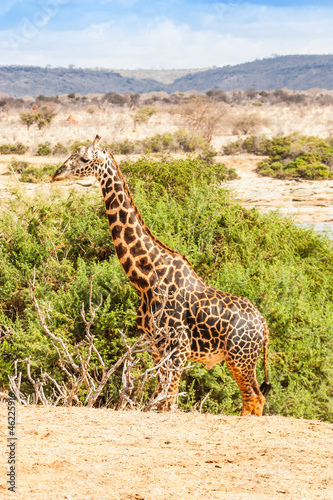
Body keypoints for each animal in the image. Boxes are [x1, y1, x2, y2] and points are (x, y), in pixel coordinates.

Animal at [52, 135, 270, 416]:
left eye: (85, 158)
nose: (57, 174)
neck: (147, 278)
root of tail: (263, 324)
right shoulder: (155, 345)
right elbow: (162, 400)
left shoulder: (178, 347)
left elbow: (169, 402)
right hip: (241, 358)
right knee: (253, 397)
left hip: (240, 357)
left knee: (254, 396)